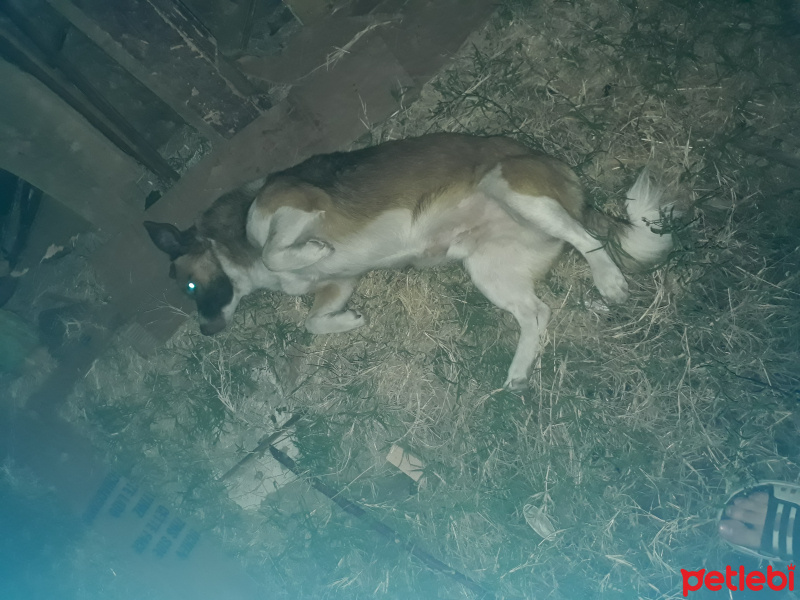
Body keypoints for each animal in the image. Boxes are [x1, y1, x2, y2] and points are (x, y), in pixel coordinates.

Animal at [145, 132, 676, 390]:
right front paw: (348, 322)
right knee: (537, 313)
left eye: (188, 286)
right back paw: (520, 371)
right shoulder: (341, 283)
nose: (206, 332)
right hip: (487, 268)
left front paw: (308, 251)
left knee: (589, 238)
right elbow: (314, 321)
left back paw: (607, 279)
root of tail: (567, 177)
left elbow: (276, 252)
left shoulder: (297, 208)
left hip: (516, 190)